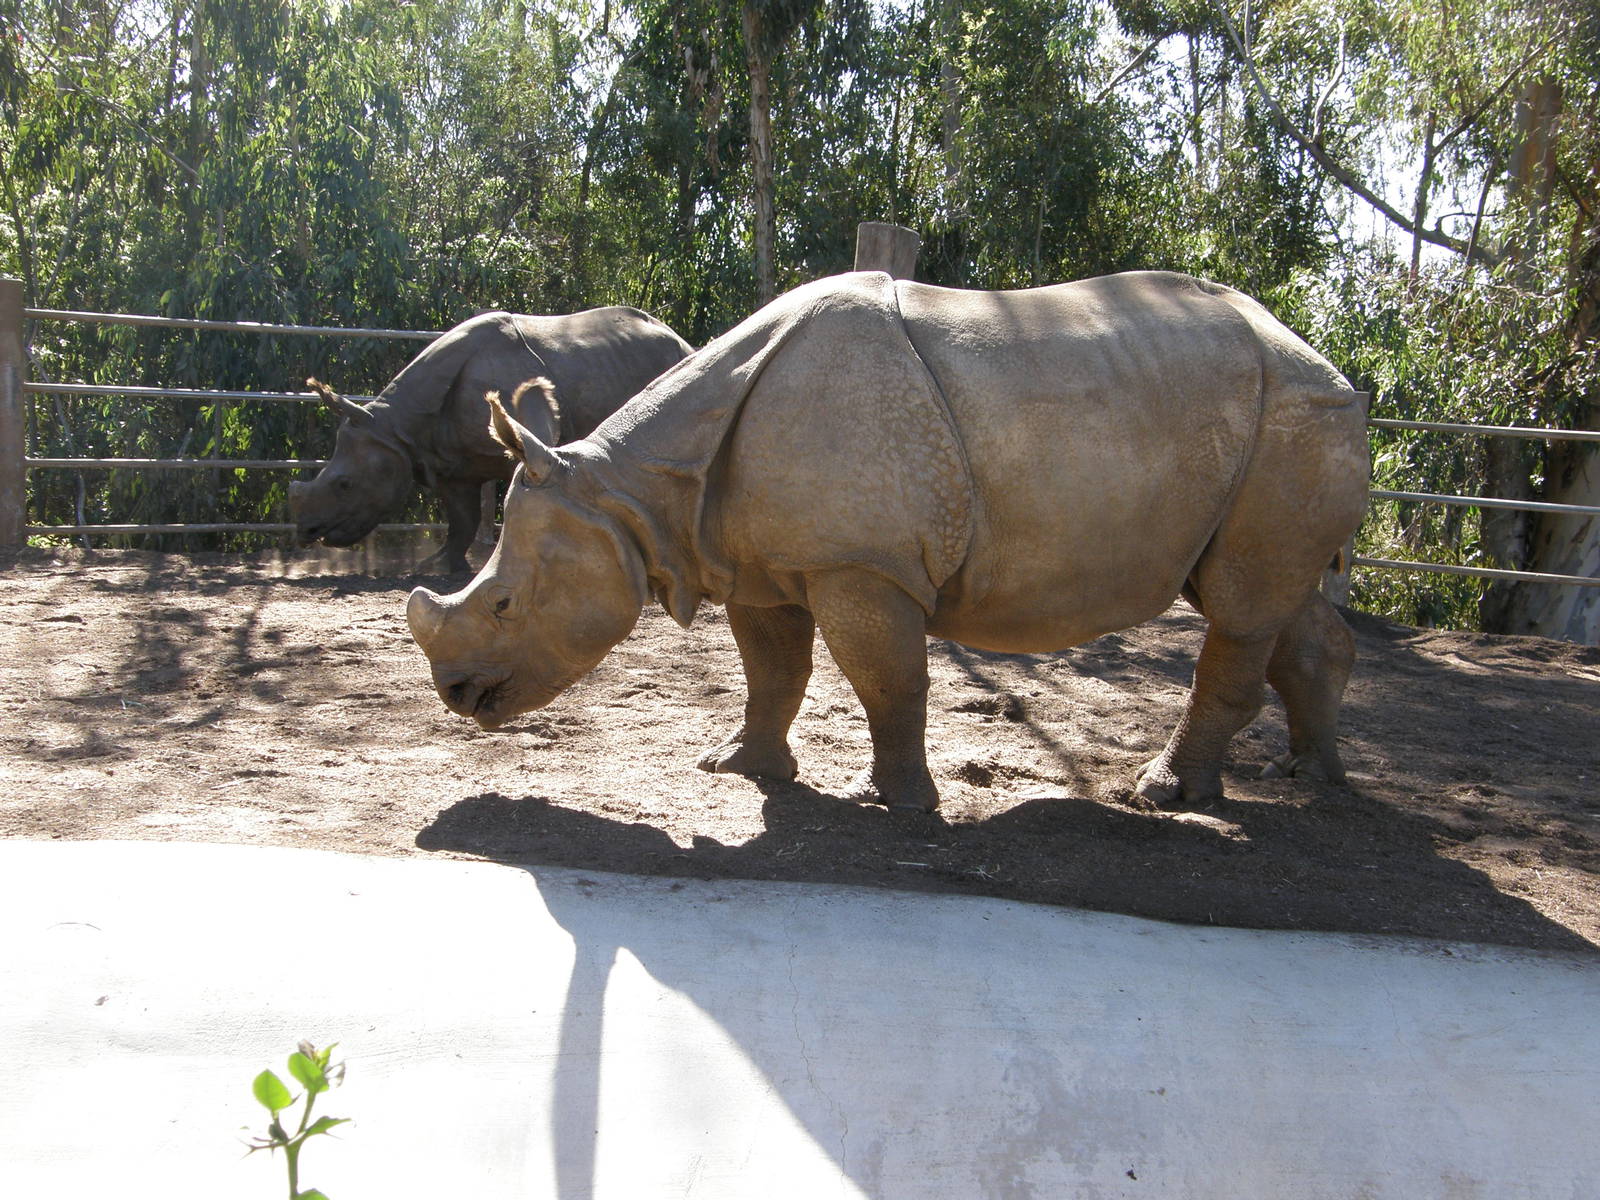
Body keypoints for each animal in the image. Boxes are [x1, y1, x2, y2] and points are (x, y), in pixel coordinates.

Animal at [287, 307, 691, 574]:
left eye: (344, 484)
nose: (306, 532)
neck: (395, 427)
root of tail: (682, 341)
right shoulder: (451, 467)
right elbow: (462, 520)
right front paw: (436, 567)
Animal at [406, 271, 1370, 812]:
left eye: (504, 603)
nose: (456, 695)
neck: (631, 495)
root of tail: (1326, 360)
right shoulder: (761, 561)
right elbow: (773, 672)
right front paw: (740, 769)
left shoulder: (861, 564)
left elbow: (887, 679)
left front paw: (897, 803)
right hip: (1269, 426)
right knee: (1270, 599)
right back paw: (1313, 779)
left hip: (1291, 417)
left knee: (1242, 608)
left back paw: (1169, 795)